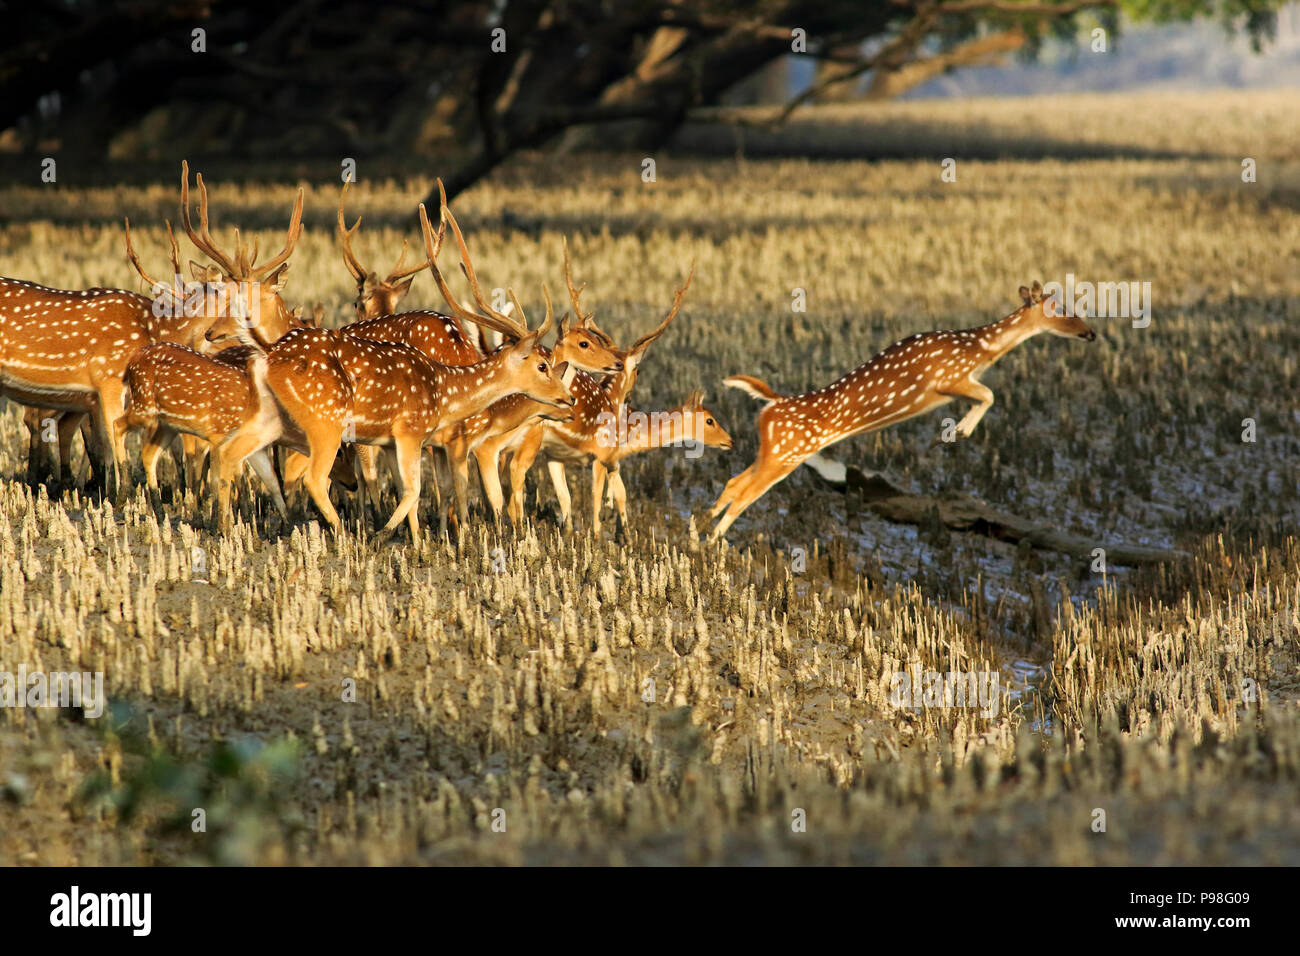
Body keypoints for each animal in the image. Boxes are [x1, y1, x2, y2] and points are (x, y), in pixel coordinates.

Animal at [712, 280, 1097, 541]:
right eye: (1060, 310)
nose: (1091, 333)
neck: (981, 349)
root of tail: (772, 404)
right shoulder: (947, 378)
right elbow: (990, 394)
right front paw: (953, 434)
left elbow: (987, 395)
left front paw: (949, 435)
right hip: (788, 451)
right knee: (743, 495)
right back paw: (714, 542)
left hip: (776, 450)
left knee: (733, 483)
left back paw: (703, 529)